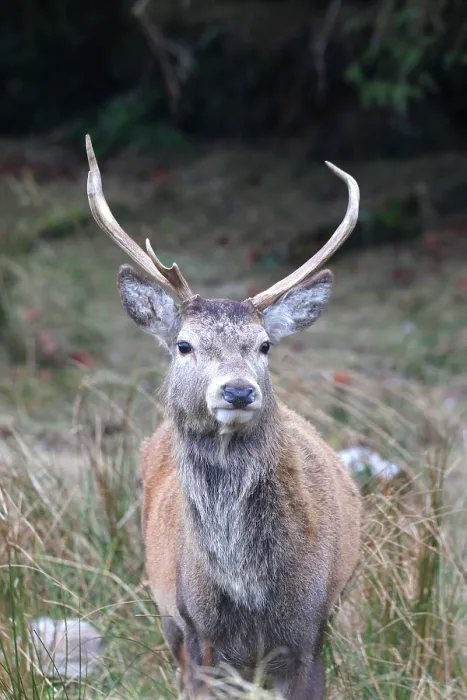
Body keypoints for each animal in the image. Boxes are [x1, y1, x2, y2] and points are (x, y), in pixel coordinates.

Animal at [85, 135, 362, 700]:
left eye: (265, 344)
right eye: (184, 344)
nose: (238, 390)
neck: (251, 595)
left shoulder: (311, 631)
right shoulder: (198, 634)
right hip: (166, 615)